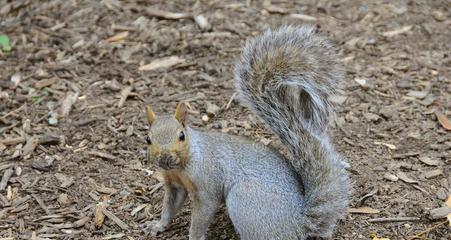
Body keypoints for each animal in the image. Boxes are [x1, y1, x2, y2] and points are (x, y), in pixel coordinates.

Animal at [139, 25, 352, 239]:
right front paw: (157, 225)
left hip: (244, 200)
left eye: (181, 136)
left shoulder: (208, 185)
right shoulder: (174, 184)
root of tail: (298, 225)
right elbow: (170, 207)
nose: (165, 158)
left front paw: (194, 236)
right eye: (148, 139)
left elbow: (202, 215)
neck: (183, 164)